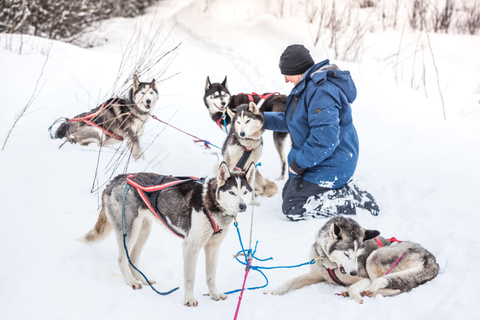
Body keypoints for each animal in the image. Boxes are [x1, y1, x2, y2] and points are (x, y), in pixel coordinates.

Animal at [79, 162, 255, 308]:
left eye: (245, 192)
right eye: (232, 192)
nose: (243, 206)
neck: (210, 202)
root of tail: (116, 179)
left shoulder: (213, 247)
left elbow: (211, 275)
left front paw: (214, 294)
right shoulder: (191, 246)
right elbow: (190, 277)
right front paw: (189, 299)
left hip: (144, 231)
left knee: (132, 259)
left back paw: (142, 279)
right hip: (130, 231)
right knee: (122, 259)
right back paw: (131, 282)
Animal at [268, 216, 440, 304]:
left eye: (358, 255)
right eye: (346, 254)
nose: (353, 272)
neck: (331, 263)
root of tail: (432, 259)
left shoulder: (364, 278)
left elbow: (354, 287)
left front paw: (355, 294)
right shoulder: (315, 275)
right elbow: (290, 281)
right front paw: (274, 290)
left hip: (374, 257)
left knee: (389, 289)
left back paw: (363, 292)